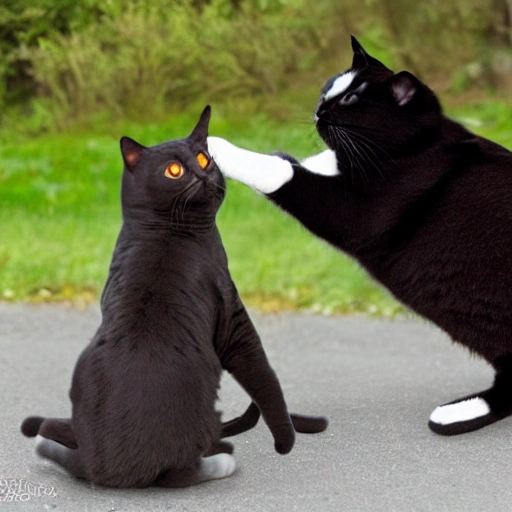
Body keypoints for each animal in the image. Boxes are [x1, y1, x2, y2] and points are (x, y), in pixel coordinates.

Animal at [207, 37, 512, 436]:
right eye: (328, 88)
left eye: (351, 99)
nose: (320, 109)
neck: (413, 147)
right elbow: (290, 159)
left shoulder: (351, 210)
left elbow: (278, 170)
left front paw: (215, 146)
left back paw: (461, 413)